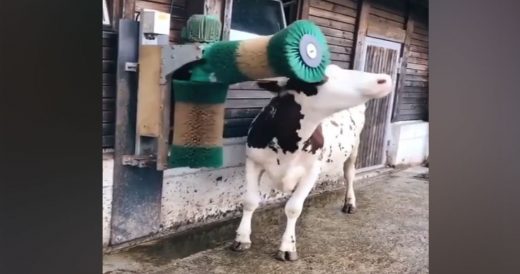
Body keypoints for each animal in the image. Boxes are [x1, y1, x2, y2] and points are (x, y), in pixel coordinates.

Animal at [230, 63, 392, 262]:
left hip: (355, 147)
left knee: (349, 174)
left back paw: (350, 203)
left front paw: (287, 247)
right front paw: (241, 238)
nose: (384, 79)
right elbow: (250, 201)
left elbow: (293, 208)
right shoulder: (253, 161)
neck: (287, 142)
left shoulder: (312, 170)